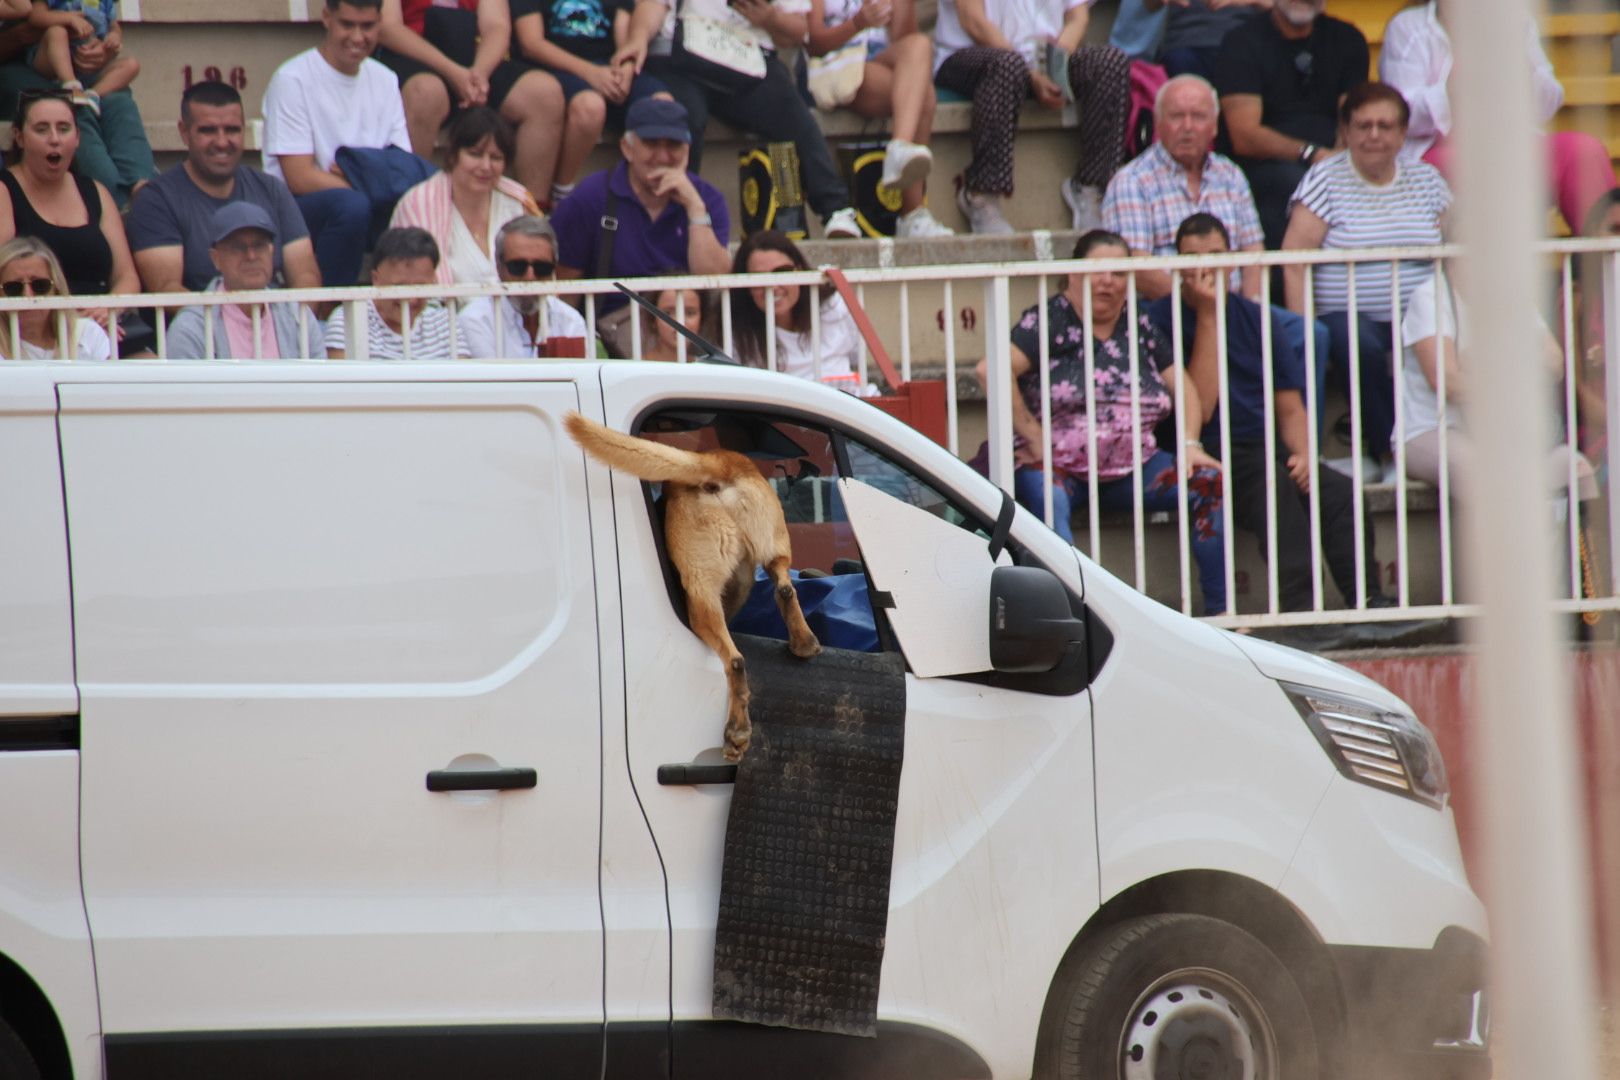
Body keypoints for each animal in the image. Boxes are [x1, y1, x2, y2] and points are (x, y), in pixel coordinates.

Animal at [567, 414, 822, 761]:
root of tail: (720, 463)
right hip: (765, 559)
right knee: (784, 589)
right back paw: (804, 642)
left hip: (701, 592)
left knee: (734, 659)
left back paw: (737, 733)